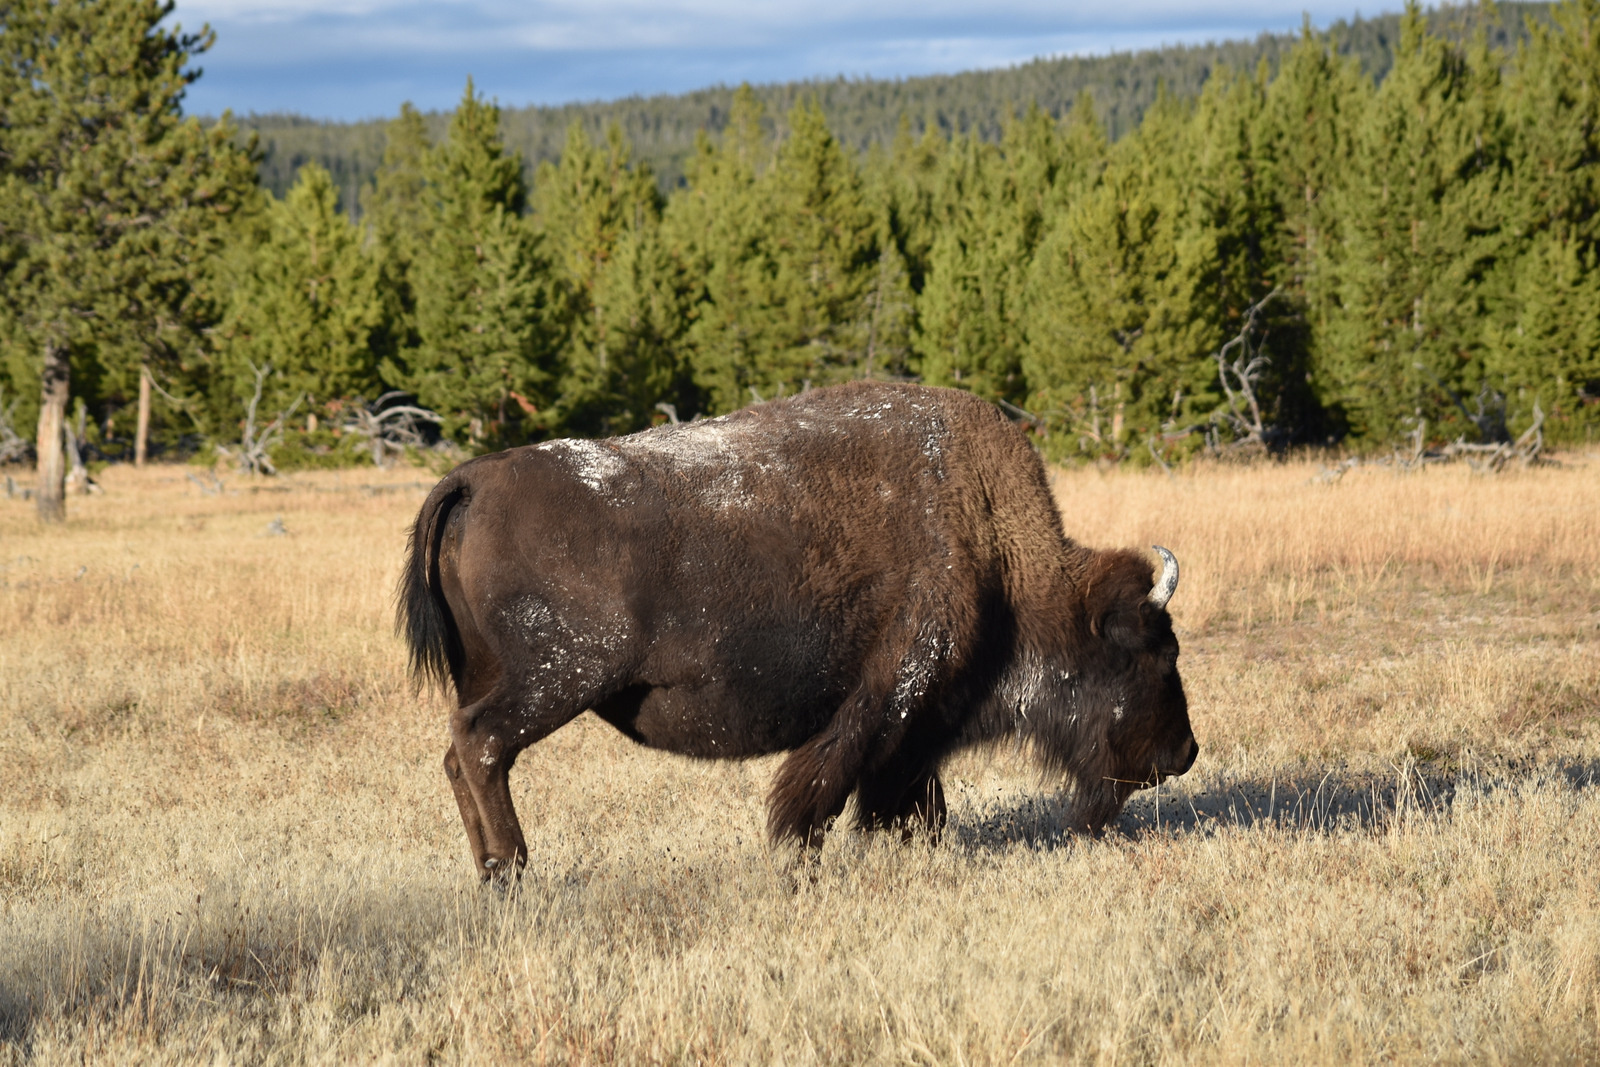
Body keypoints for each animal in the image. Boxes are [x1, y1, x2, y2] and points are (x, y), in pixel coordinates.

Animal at [400, 379, 1203, 883]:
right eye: (1157, 653)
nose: (1185, 752)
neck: (992, 548)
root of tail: (474, 478)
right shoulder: (889, 698)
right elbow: (823, 787)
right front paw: (799, 856)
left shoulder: (915, 728)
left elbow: (911, 799)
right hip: (556, 680)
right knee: (481, 745)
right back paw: (513, 869)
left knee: (460, 753)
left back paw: (492, 873)